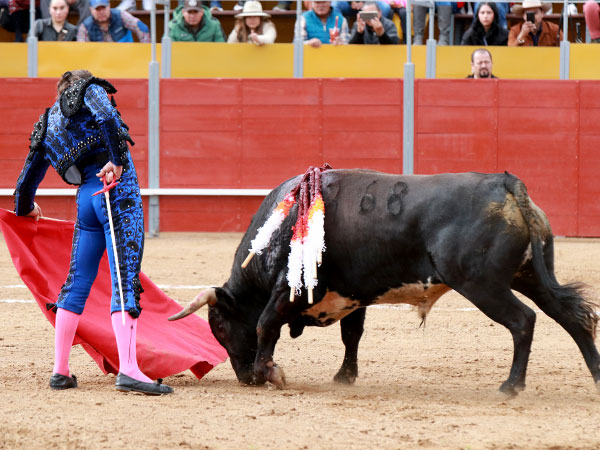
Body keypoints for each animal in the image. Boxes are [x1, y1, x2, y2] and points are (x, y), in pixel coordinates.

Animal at [170, 171, 600, 396]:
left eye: (220, 327)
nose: (244, 380)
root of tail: (504, 183)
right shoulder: (350, 295)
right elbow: (352, 335)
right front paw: (344, 377)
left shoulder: (287, 291)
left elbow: (264, 325)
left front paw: (270, 373)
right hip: (530, 276)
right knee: (572, 317)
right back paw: (596, 376)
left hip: (483, 285)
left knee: (523, 321)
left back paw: (511, 385)